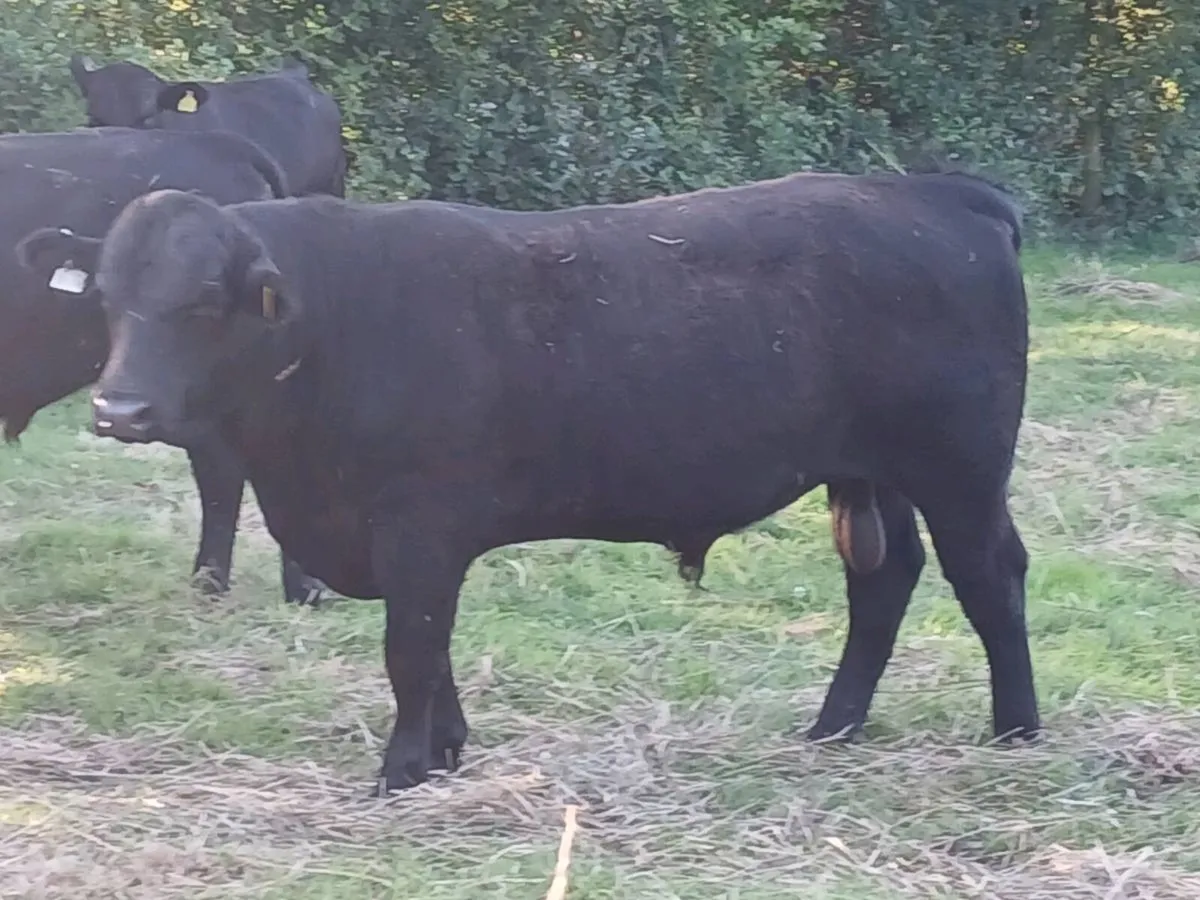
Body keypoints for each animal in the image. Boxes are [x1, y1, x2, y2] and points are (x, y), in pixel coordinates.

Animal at [52, 170, 1039, 795]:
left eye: (203, 303)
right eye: (106, 298)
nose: (119, 409)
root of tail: (935, 191)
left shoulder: (417, 526)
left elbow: (410, 648)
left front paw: (401, 770)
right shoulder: (406, 541)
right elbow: (433, 647)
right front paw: (447, 751)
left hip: (960, 471)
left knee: (990, 577)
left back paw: (1016, 732)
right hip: (873, 474)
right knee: (883, 578)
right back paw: (834, 726)